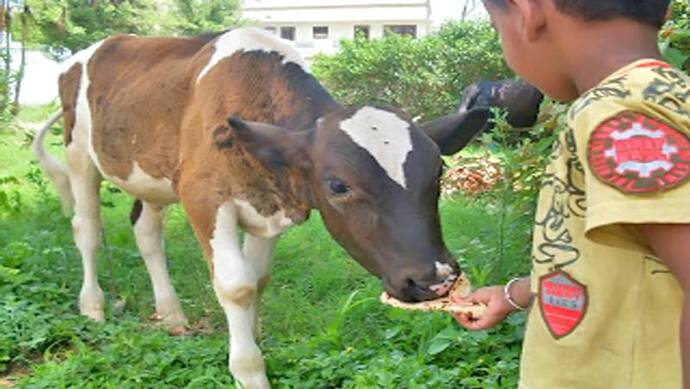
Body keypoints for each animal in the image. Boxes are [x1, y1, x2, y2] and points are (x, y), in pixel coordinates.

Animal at [30, 27, 484, 384]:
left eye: (439, 171)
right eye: (338, 185)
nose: (435, 279)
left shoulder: (269, 206)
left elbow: (259, 279)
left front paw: (252, 334)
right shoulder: (202, 197)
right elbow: (238, 285)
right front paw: (248, 368)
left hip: (151, 176)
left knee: (146, 231)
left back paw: (172, 315)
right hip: (79, 154)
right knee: (87, 229)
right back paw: (93, 307)